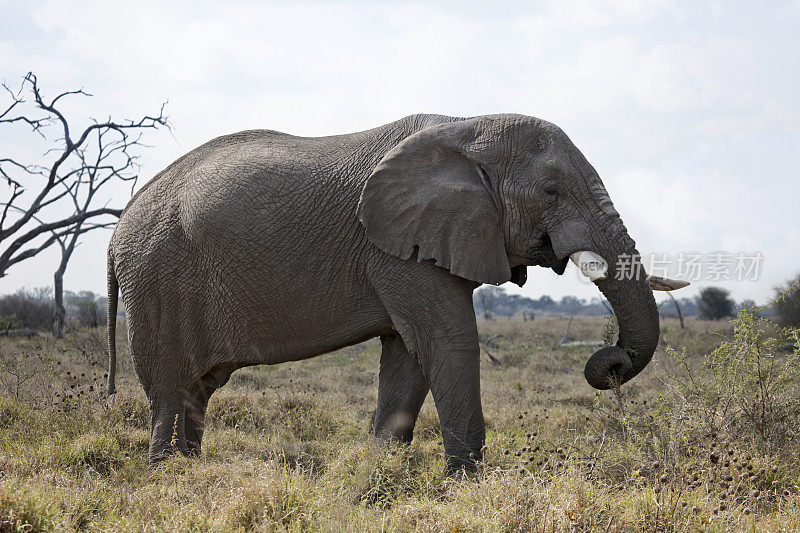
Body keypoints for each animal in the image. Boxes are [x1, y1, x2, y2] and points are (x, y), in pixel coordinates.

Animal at [104, 112, 676, 470]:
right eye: (552, 191)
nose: (611, 363)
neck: (467, 127)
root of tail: (116, 234)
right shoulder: (396, 247)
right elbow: (448, 343)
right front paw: (467, 483)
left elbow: (409, 354)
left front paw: (382, 470)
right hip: (157, 278)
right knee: (169, 388)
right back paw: (165, 476)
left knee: (198, 388)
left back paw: (191, 468)